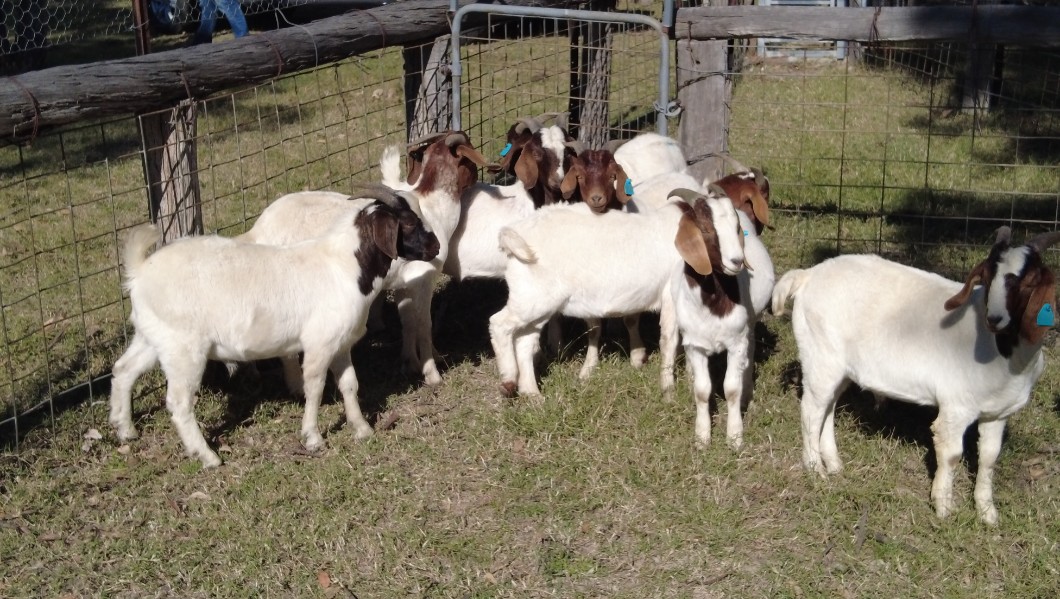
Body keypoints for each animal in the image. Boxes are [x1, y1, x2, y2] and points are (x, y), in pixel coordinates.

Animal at [108, 199, 440, 468]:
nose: (436, 247)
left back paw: (125, 430)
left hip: (152, 336)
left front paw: (362, 428)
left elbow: (349, 384)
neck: (345, 266)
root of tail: (139, 272)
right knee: (178, 403)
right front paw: (313, 438)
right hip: (183, 347)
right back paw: (208, 456)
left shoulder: (341, 343)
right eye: (409, 223)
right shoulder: (319, 343)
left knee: (123, 370)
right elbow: (314, 388)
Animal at [488, 187, 747, 400]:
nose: (737, 261)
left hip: (537, 304)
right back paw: (508, 380)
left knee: (524, 341)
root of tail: (514, 234)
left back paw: (533, 395)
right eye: (706, 229)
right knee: (499, 324)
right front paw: (668, 389)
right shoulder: (670, 296)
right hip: (532, 299)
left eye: (737, 227)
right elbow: (669, 340)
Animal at [771, 227, 1060, 524]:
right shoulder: (956, 407)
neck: (1004, 353)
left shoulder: (997, 413)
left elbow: (989, 458)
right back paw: (815, 468)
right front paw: (944, 508)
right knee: (811, 409)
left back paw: (834, 463)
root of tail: (808, 275)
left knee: (827, 408)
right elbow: (952, 455)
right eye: (988, 277)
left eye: (1030, 282)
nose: (995, 319)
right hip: (820, 356)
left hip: (838, 368)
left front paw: (987, 513)